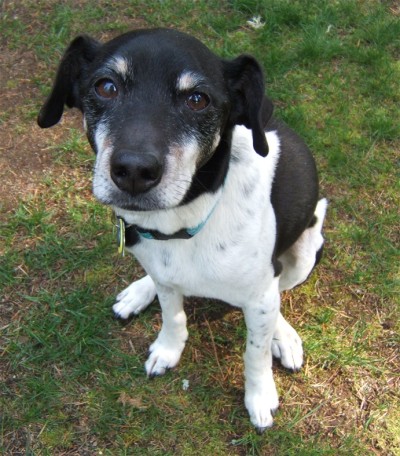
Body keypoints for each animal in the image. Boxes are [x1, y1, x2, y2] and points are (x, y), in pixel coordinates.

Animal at [37, 28, 326, 432]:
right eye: (106, 86)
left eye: (197, 99)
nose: (134, 171)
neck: (182, 224)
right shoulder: (165, 274)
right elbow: (172, 314)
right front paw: (168, 349)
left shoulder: (260, 294)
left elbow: (254, 352)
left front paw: (259, 394)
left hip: (305, 248)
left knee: (280, 291)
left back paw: (282, 335)